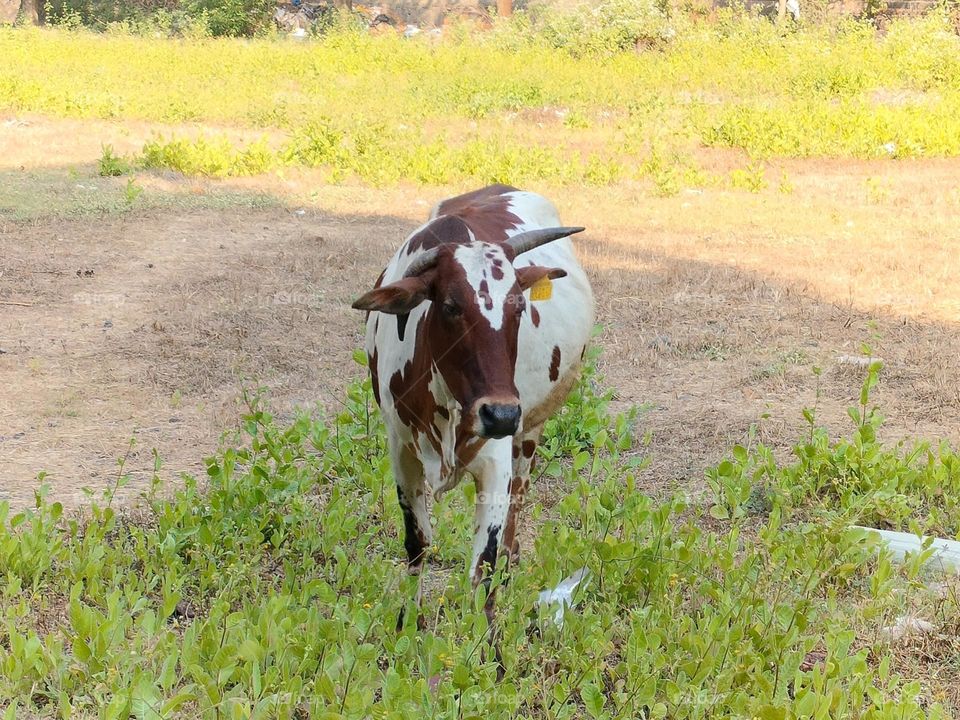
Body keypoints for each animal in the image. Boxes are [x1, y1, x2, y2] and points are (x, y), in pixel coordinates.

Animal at [348, 184, 596, 636]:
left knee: (517, 505)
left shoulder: (496, 458)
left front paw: (486, 645)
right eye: (450, 305)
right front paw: (410, 623)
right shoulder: (401, 449)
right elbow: (417, 543)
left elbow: (484, 562)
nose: (500, 415)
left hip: (528, 433)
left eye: (519, 307)